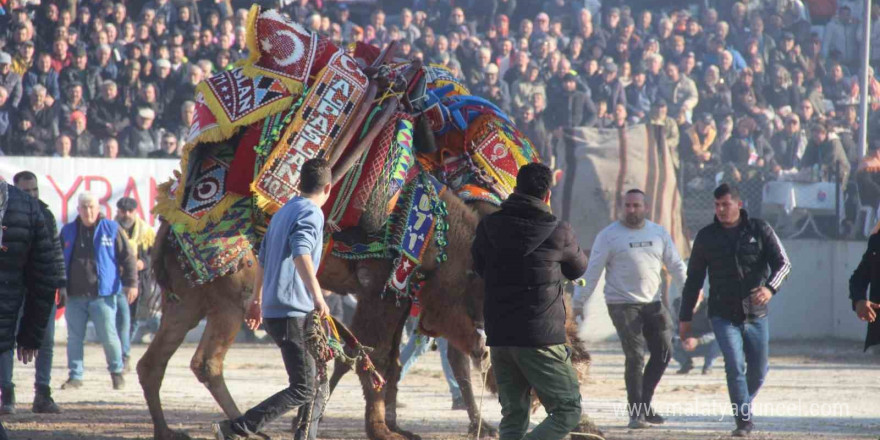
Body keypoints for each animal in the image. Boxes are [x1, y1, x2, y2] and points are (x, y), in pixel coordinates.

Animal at [138, 6, 592, 440]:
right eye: (563, 347)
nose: (575, 406)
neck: (442, 231)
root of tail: (168, 227)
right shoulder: (382, 288)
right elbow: (375, 358)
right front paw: (381, 429)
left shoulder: (402, 294)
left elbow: (383, 359)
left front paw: (384, 423)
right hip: (233, 295)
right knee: (206, 362)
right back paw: (240, 426)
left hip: (188, 299)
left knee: (154, 362)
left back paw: (168, 428)